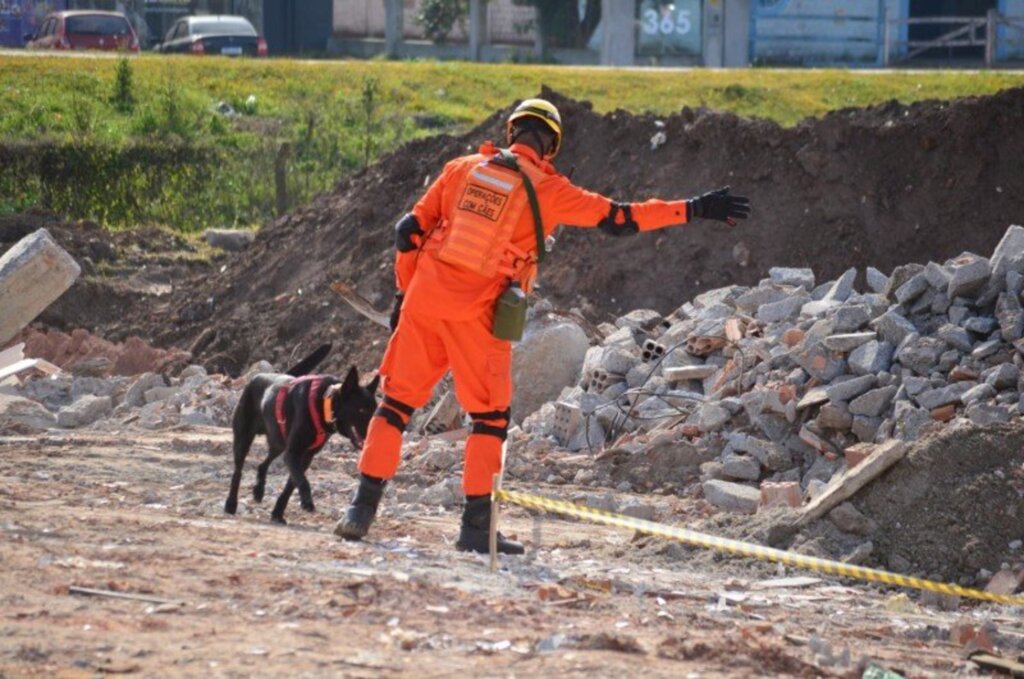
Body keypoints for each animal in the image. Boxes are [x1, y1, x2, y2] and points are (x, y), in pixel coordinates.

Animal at [224, 346, 380, 524]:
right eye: (361, 410)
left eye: (375, 410)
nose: (374, 435)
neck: (324, 403)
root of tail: (255, 378)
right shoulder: (293, 453)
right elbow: (302, 482)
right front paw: (307, 502)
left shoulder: (305, 457)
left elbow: (291, 486)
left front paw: (278, 513)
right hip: (244, 438)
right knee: (238, 471)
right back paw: (231, 504)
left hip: (278, 443)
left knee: (263, 464)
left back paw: (258, 490)